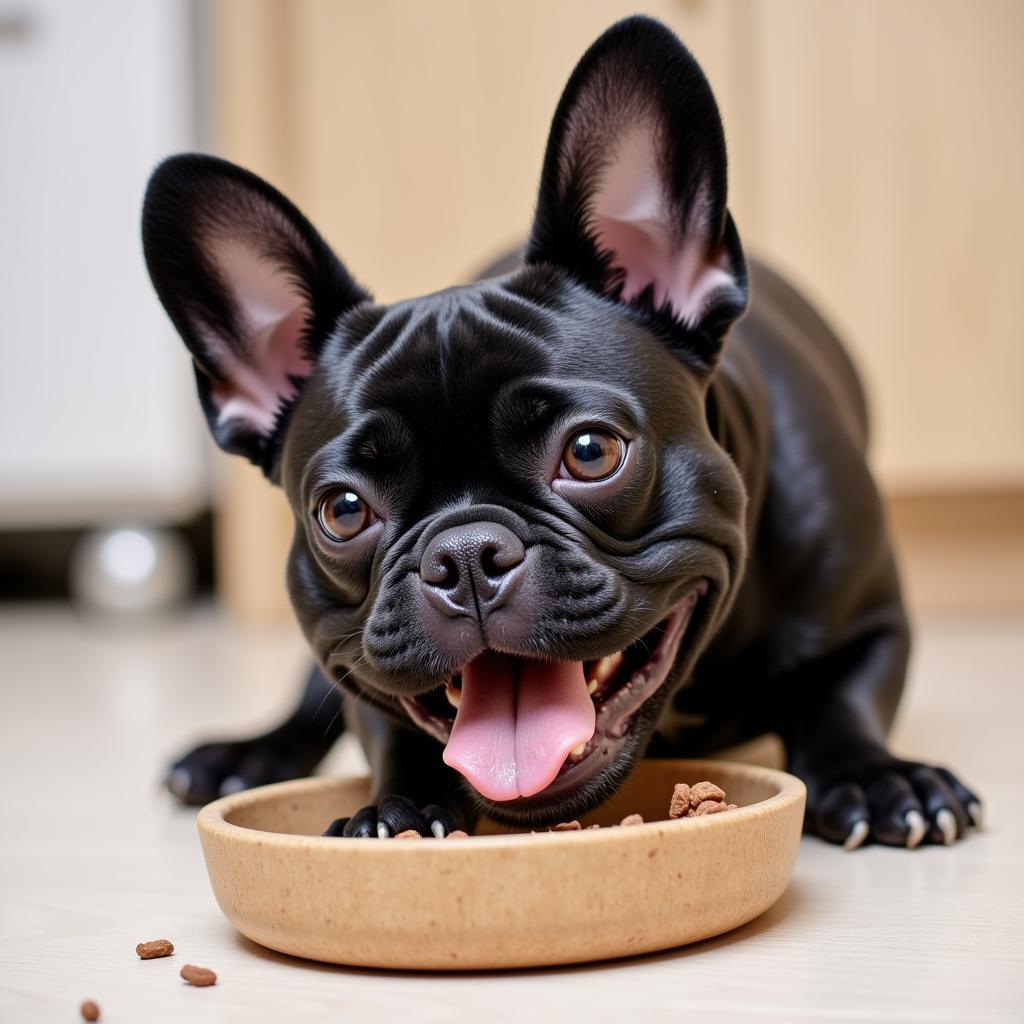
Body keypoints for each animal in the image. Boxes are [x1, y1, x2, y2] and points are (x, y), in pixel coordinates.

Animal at [142, 18, 974, 847]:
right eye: (343, 511)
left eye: (590, 452)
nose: (464, 557)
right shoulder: (364, 671)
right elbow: (385, 723)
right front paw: (397, 808)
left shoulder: (868, 622)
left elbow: (842, 701)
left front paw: (875, 775)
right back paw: (242, 755)